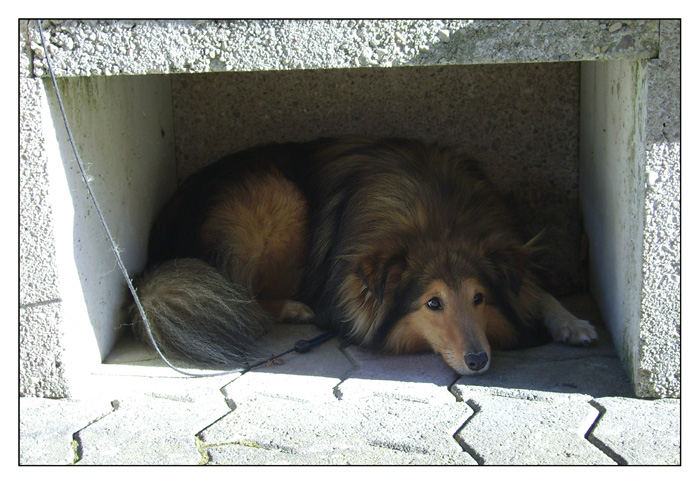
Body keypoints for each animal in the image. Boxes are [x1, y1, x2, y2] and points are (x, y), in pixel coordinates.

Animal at [131, 137, 596, 374]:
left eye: (479, 298)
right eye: (433, 303)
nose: (479, 360)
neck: (436, 213)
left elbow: (536, 291)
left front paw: (571, 322)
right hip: (276, 199)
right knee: (239, 290)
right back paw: (292, 308)